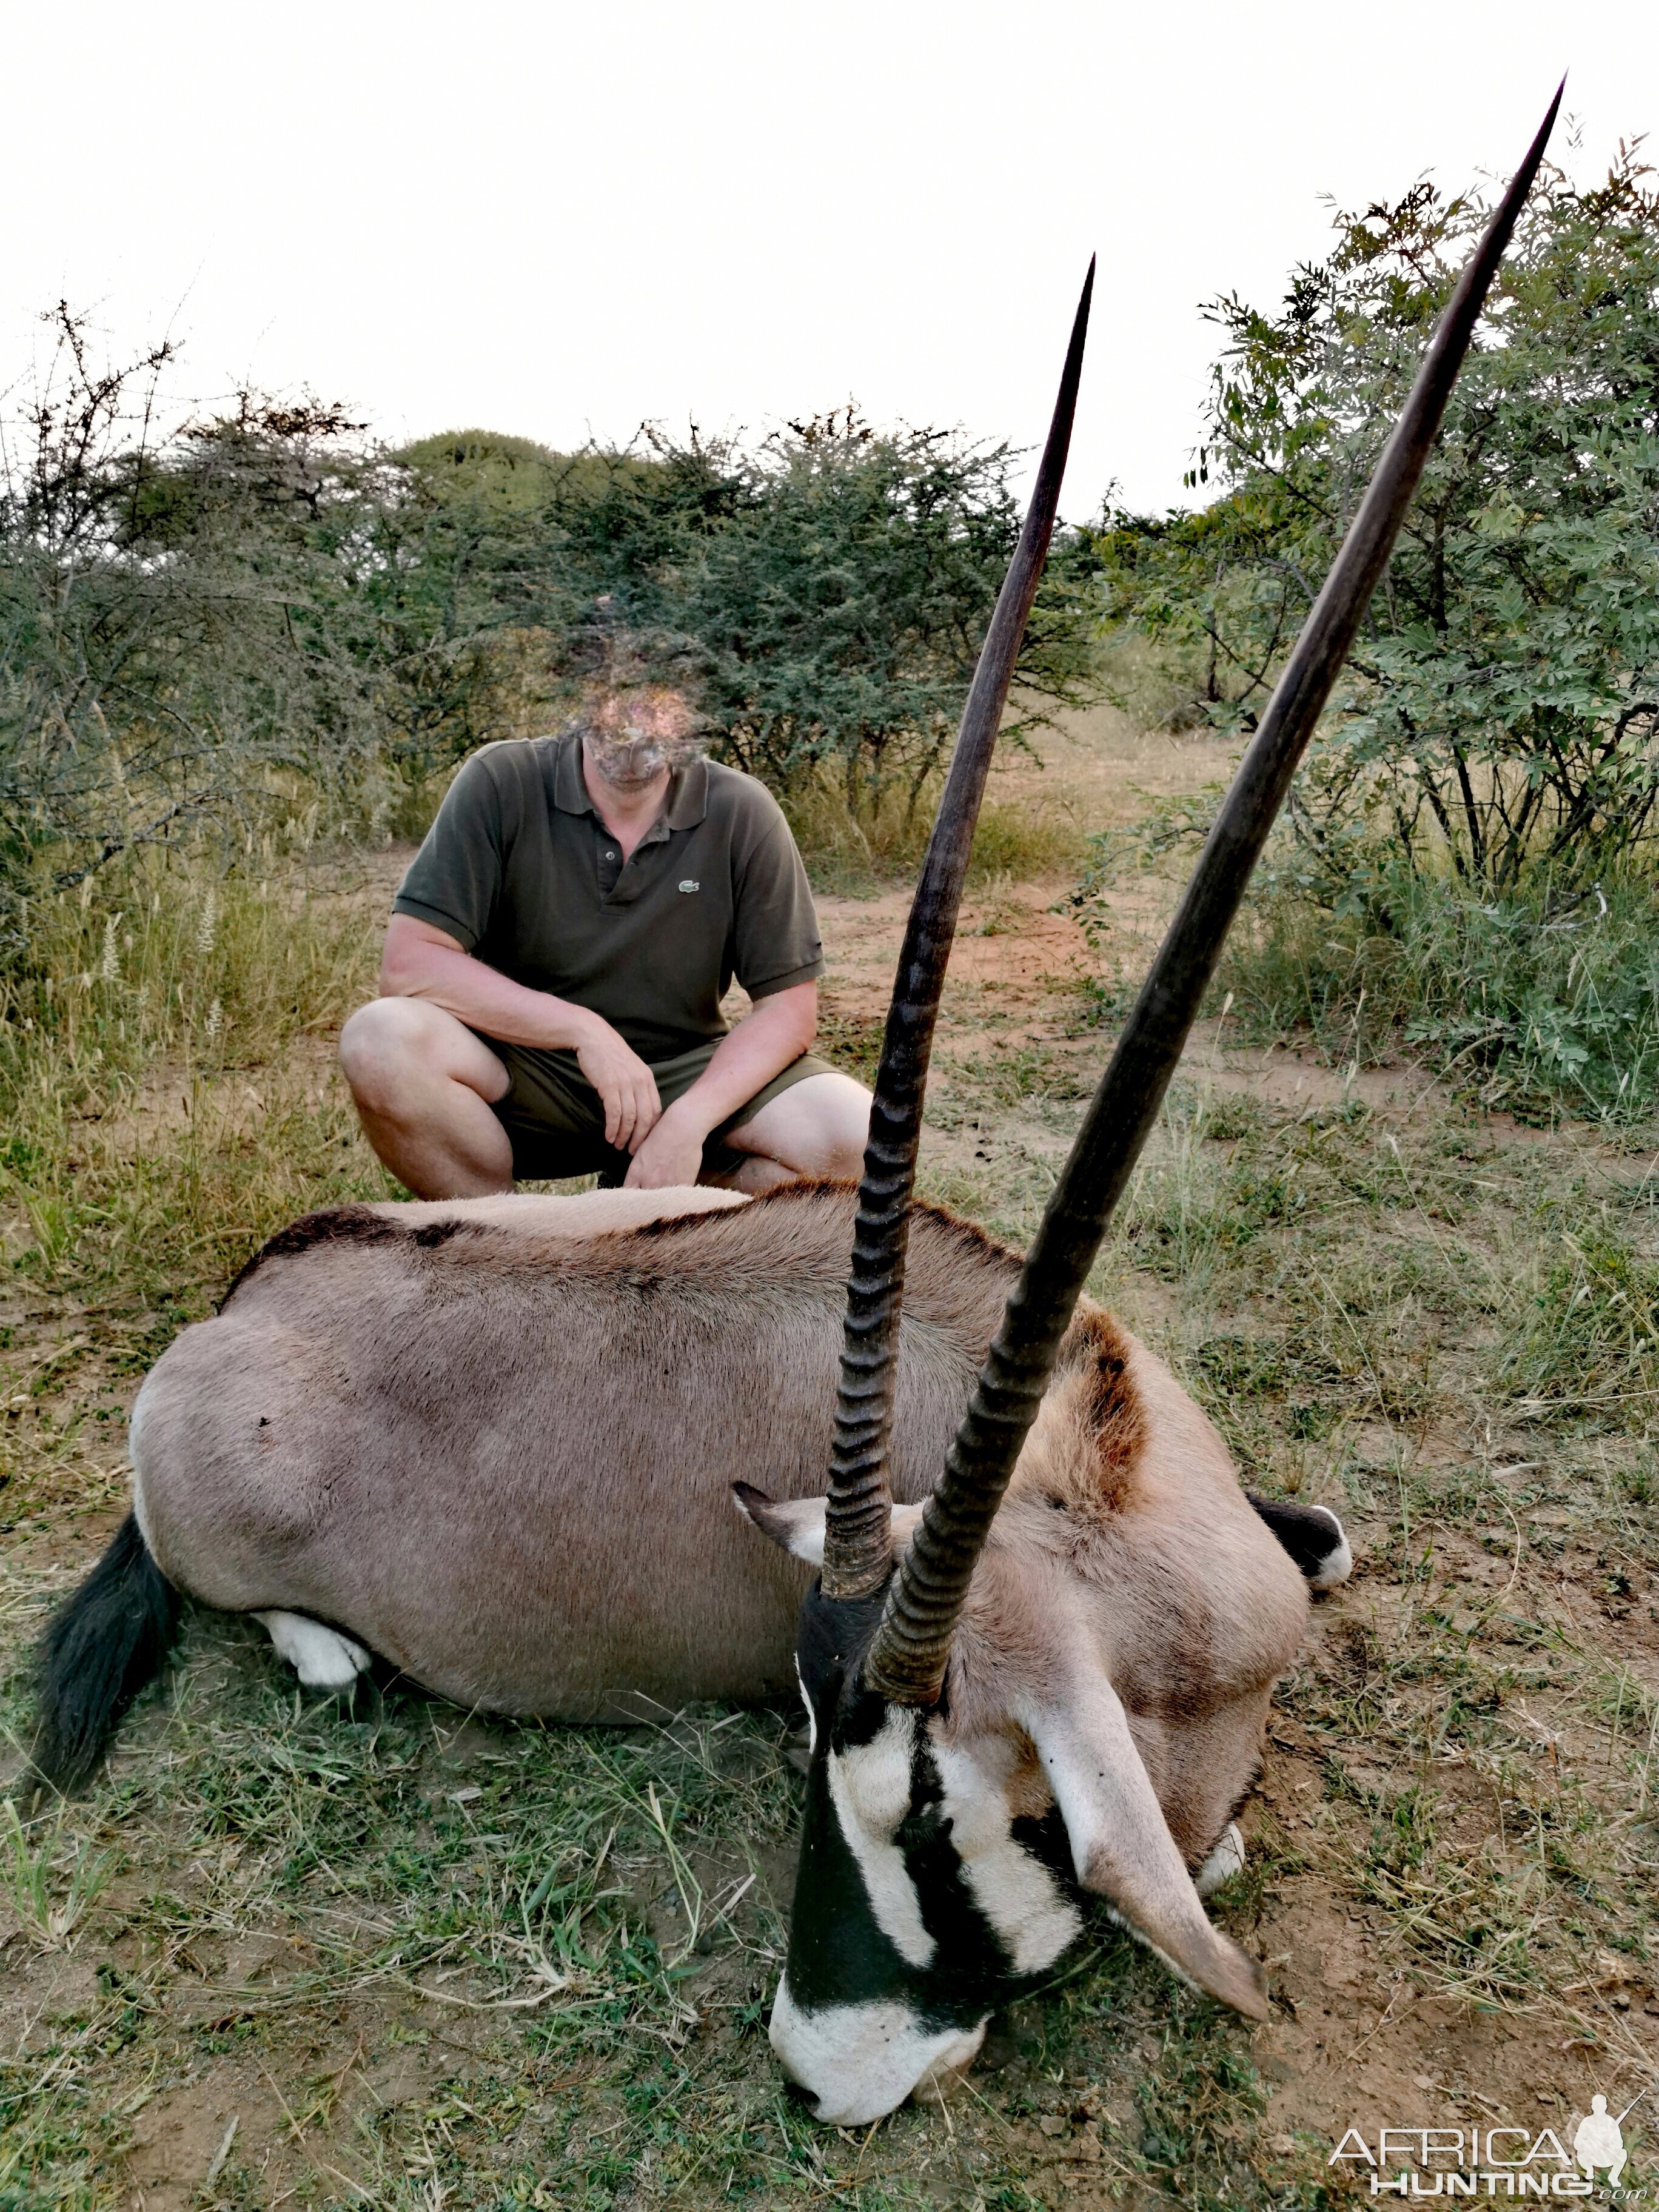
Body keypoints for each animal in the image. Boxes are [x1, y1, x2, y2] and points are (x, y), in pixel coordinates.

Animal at [25, 95, 1557, 2132]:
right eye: (833, 1756)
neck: (1109, 1468)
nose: (824, 2074)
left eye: (996, 1815)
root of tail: (229, 1317)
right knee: (320, 1657)